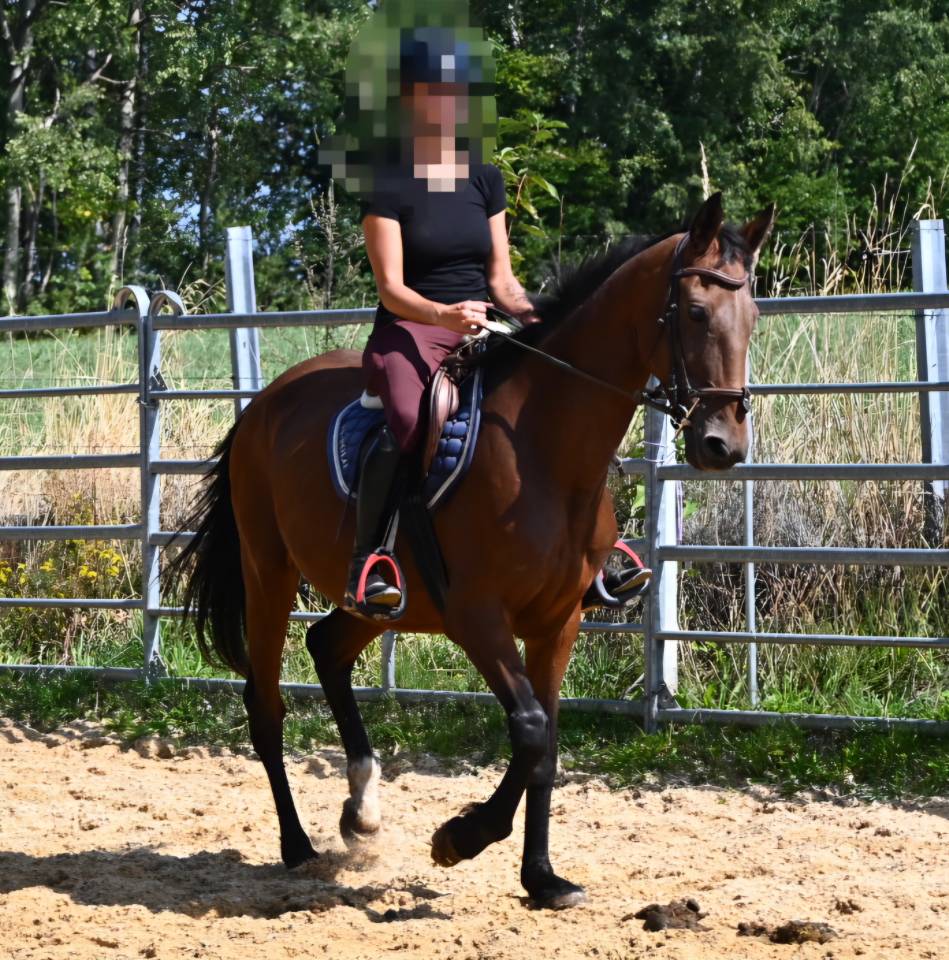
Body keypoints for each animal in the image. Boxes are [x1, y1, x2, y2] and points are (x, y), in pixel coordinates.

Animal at [164, 192, 775, 910]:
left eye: (753, 317)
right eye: (695, 312)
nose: (722, 446)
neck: (542, 454)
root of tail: (264, 404)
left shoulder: (557, 621)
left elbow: (546, 741)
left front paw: (541, 876)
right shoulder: (476, 616)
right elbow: (531, 729)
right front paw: (461, 837)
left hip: (386, 601)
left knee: (327, 647)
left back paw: (361, 811)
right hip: (269, 574)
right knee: (265, 706)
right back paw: (297, 846)